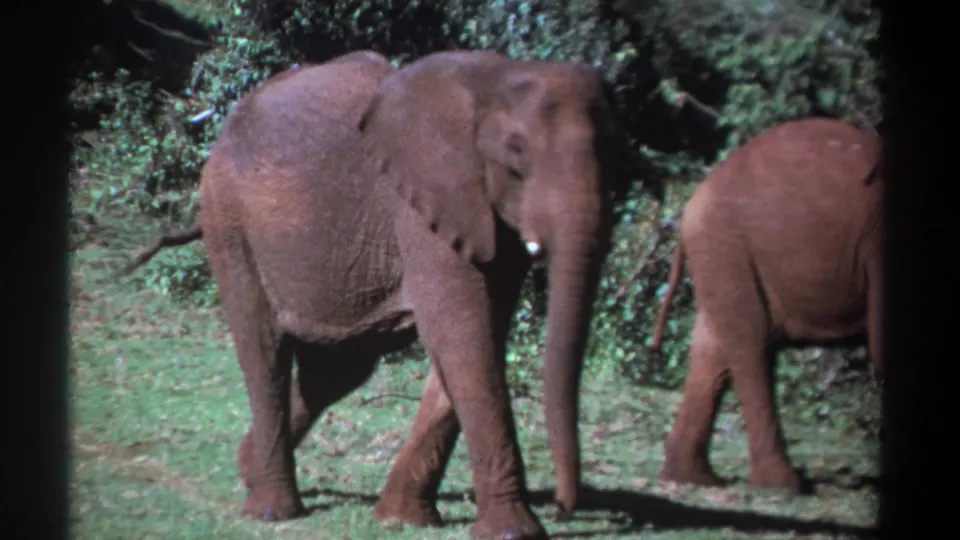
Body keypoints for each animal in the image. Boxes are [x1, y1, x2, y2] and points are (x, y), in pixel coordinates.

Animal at [120, 49, 620, 539]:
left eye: (619, 156)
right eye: (516, 154)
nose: (566, 508)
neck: (496, 75)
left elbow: (478, 339)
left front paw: (402, 520)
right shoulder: (422, 204)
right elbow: (463, 337)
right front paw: (516, 533)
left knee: (338, 369)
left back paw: (247, 469)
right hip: (229, 218)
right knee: (265, 349)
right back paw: (271, 511)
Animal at [649, 117, 883, 493]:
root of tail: (687, 209)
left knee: (713, 349)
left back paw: (692, 479)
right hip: (728, 248)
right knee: (752, 346)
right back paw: (783, 485)